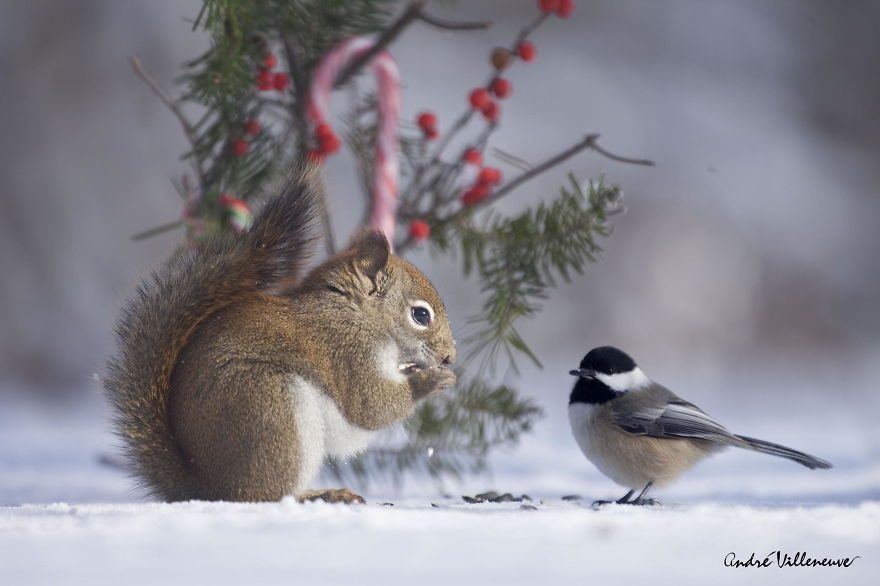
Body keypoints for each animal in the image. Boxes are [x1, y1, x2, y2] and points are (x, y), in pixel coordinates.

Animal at [104, 170, 457, 503]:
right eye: (420, 315)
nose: (450, 357)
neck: (356, 314)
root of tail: (204, 487)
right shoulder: (347, 351)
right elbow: (370, 406)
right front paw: (430, 380)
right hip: (271, 407)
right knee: (259, 496)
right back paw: (319, 495)